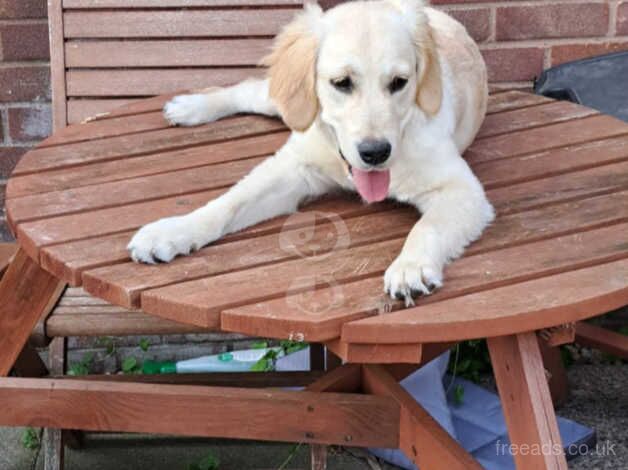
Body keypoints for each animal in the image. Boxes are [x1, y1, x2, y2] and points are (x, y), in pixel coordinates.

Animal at [129, 0, 496, 306]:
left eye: (399, 82)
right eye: (342, 82)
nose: (375, 153)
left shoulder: (462, 189)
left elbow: (427, 227)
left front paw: (410, 267)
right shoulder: (294, 167)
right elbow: (227, 203)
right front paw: (172, 231)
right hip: (287, 98)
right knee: (248, 89)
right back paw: (191, 107)